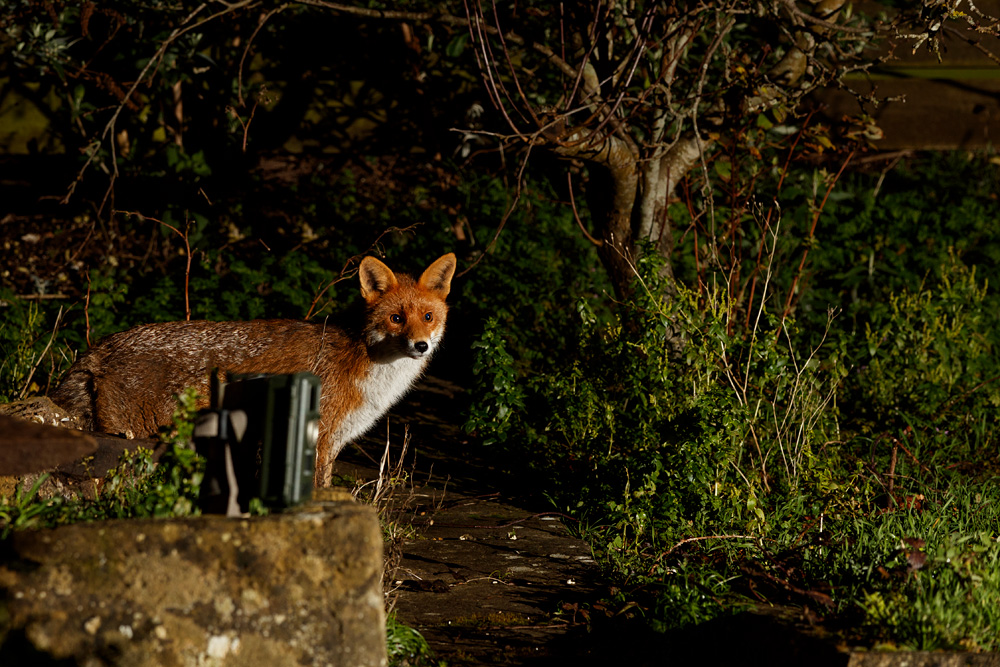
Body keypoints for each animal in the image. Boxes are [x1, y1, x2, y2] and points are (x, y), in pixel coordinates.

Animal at [50, 253, 457, 486]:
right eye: (395, 319)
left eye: (427, 317)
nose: (420, 346)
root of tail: (101, 347)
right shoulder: (317, 437)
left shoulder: (333, 442)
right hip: (133, 437)